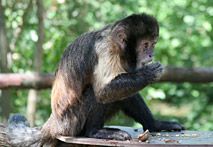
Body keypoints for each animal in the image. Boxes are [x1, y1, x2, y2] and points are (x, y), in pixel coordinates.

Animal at [2, 13, 185, 146]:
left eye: (153, 44)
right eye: (145, 45)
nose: (151, 54)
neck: (116, 45)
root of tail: (55, 123)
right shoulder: (105, 49)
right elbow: (103, 91)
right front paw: (150, 73)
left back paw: (154, 125)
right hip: (71, 124)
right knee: (94, 91)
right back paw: (95, 132)